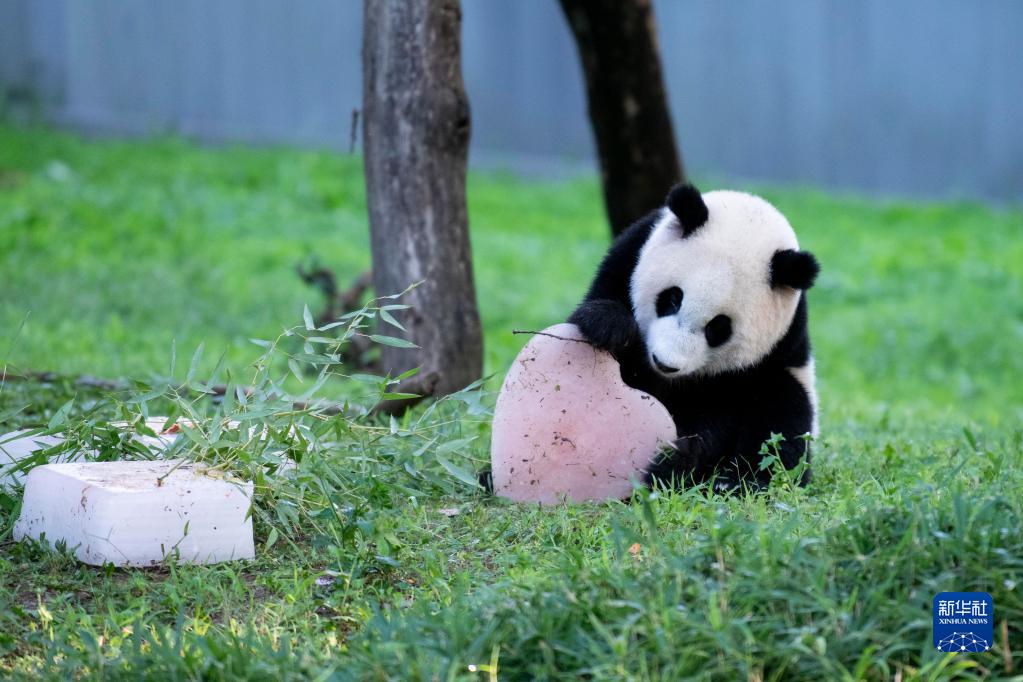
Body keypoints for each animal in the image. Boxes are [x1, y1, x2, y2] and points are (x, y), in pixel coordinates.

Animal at [568, 183, 822, 490]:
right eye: (673, 298)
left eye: (718, 328)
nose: (665, 363)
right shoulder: (625, 262)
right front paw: (608, 324)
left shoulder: (768, 357)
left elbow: (729, 422)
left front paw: (678, 459)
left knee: (782, 415)